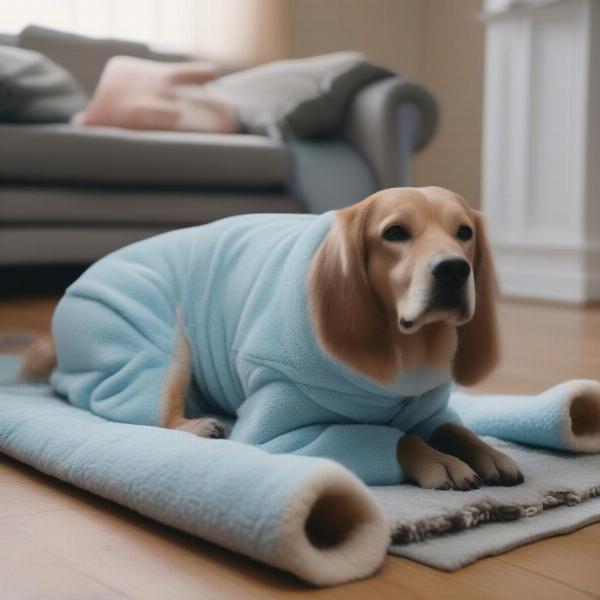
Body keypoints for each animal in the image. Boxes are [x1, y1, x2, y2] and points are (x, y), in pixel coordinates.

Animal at [22, 186, 520, 488]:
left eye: (464, 233)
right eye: (395, 233)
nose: (454, 269)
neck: (407, 353)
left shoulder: (430, 408)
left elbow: (455, 427)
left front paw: (486, 451)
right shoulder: (278, 434)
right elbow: (396, 439)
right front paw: (437, 459)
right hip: (161, 347)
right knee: (150, 413)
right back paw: (197, 425)